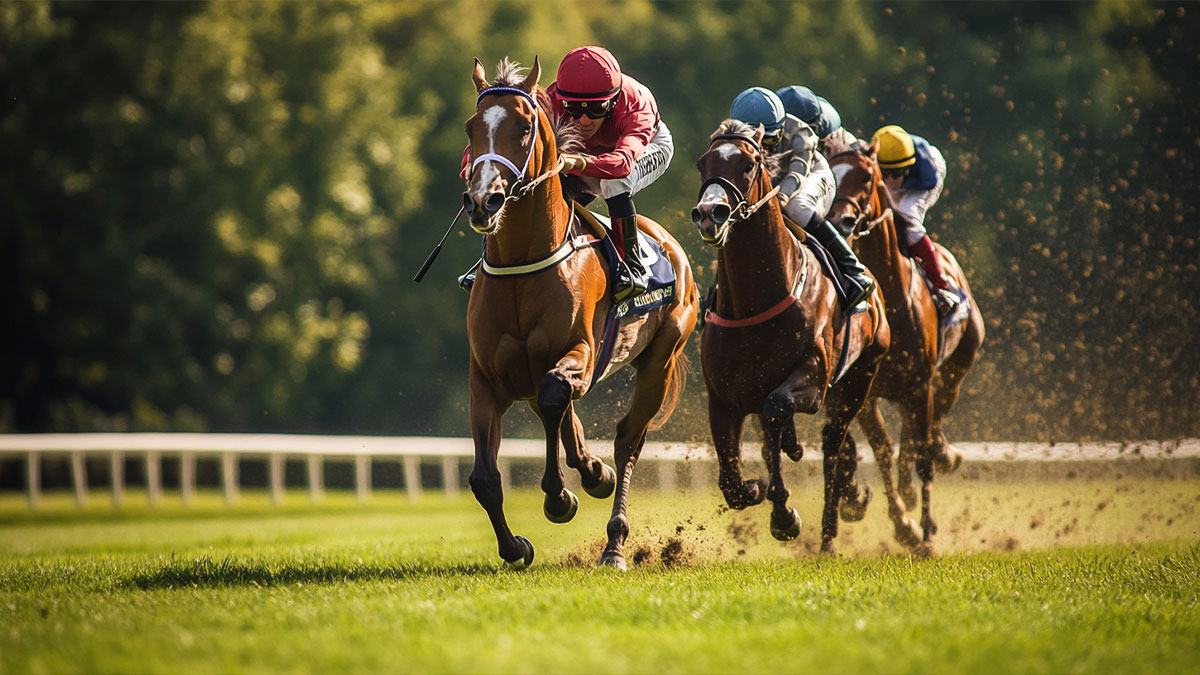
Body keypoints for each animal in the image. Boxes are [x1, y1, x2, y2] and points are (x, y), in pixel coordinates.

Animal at [460, 59, 700, 566]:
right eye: (472, 127)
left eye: (524, 128)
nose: (483, 201)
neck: (523, 264)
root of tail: (669, 244)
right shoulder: (486, 377)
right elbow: (484, 479)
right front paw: (514, 546)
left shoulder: (582, 353)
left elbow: (556, 399)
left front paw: (559, 496)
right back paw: (592, 471)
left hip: (661, 359)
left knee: (627, 439)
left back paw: (613, 538)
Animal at [686, 119, 892, 552]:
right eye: (702, 163)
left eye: (748, 164)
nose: (710, 214)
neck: (754, 301)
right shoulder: (722, 399)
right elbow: (732, 480)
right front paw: (754, 487)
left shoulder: (812, 380)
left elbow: (776, 407)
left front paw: (784, 515)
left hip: (859, 380)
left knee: (833, 447)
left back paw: (829, 534)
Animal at [825, 141, 984, 552]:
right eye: (832, 172)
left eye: (866, 177)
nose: (840, 220)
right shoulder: (865, 393)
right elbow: (883, 450)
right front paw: (905, 525)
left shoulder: (918, 384)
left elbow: (920, 453)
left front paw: (926, 535)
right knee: (907, 439)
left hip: (960, 360)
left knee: (935, 416)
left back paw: (944, 454)